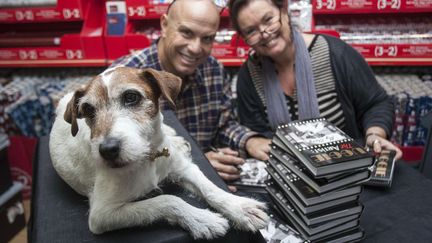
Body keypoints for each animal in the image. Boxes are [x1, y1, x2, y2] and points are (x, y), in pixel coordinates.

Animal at [49, 66, 268, 239]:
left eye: (131, 97)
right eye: (88, 110)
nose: (107, 150)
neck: (149, 158)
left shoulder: (184, 168)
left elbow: (210, 188)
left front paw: (240, 208)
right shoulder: (102, 214)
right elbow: (166, 200)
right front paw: (203, 219)